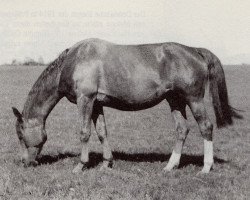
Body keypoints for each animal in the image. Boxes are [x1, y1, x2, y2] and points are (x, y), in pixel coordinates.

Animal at [11, 38, 240, 173]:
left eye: (20, 136)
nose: (25, 162)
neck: (74, 61)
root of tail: (195, 50)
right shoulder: (97, 103)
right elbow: (102, 132)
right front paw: (106, 163)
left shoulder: (86, 100)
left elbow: (84, 133)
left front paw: (80, 165)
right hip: (175, 100)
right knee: (182, 129)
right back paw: (170, 165)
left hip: (194, 99)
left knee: (206, 127)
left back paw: (206, 167)